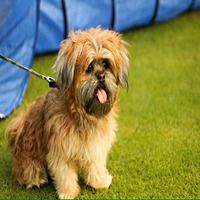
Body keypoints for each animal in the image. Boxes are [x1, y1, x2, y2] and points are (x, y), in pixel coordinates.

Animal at [6, 27, 129, 198]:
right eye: (89, 67)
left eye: (106, 64)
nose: (101, 76)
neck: (83, 115)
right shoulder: (61, 150)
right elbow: (65, 173)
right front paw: (69, 192)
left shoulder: (95, 144)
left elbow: (96, 165)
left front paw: (99, 182)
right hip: (28, 156)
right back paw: (35, 179)